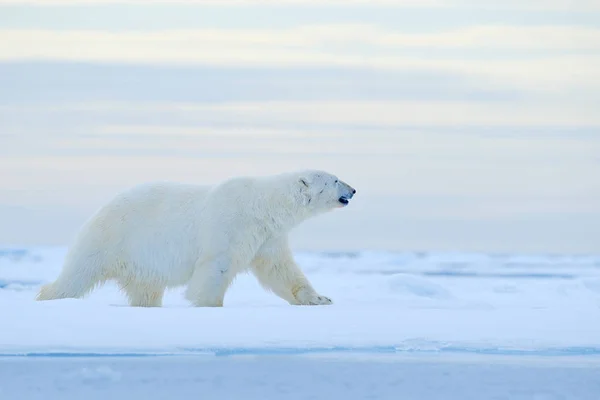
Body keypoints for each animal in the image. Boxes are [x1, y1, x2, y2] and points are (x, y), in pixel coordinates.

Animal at [35, 169, 356, 306]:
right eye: (334, 179)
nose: (353, 189)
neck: (262, 205)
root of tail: (101, 208)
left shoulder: (268, 237)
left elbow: (281, 270)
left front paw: (319, 298)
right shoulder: (230, 225)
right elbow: (216, 266)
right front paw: (207, 304)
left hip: (141, 263)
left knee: (145, 291)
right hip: (111, 238)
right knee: (76, 276)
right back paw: (47, 296)